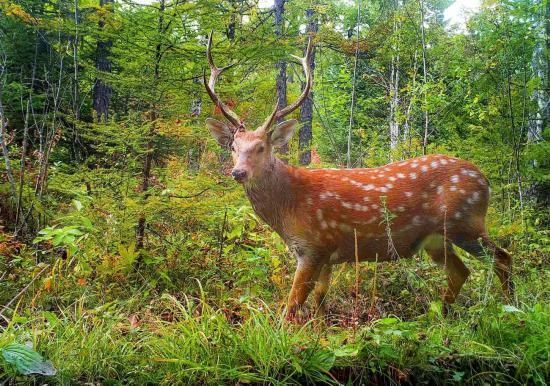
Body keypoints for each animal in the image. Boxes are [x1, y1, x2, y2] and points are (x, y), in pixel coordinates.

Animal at [205, 33, 516, 318]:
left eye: (261, 147)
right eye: (233, 147)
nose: (238, 172)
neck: (288, 208)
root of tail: (484, 180)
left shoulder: (313, 246)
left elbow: (292, 307)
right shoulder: (327, 255)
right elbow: (319, 305)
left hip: (465, 222)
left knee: (502, 257)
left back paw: (511, 311)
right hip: (437, 239)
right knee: (460, 272)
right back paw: (439, 316)